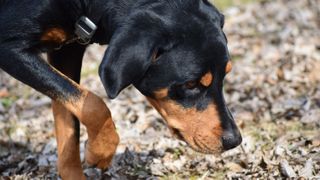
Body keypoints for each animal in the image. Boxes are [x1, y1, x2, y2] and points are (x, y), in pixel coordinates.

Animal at [0, 0, 240, 178]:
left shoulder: (67, 52)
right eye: (190, 84)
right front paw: (100, 152)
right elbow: (94, 104)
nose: (234, 141)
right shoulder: (8, 48)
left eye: (225, 75)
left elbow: (69, 124)